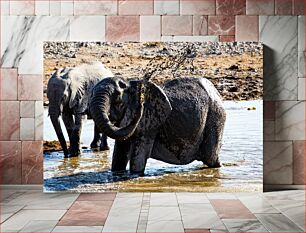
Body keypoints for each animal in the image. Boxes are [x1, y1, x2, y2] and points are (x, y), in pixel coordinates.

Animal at [89, 76, 226, 175]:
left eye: (117, 96)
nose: (140, 105)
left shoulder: (148, 122)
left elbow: (137, 161)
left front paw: (135, 175)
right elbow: (119, 155)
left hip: (216, 115)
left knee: (211, 158)